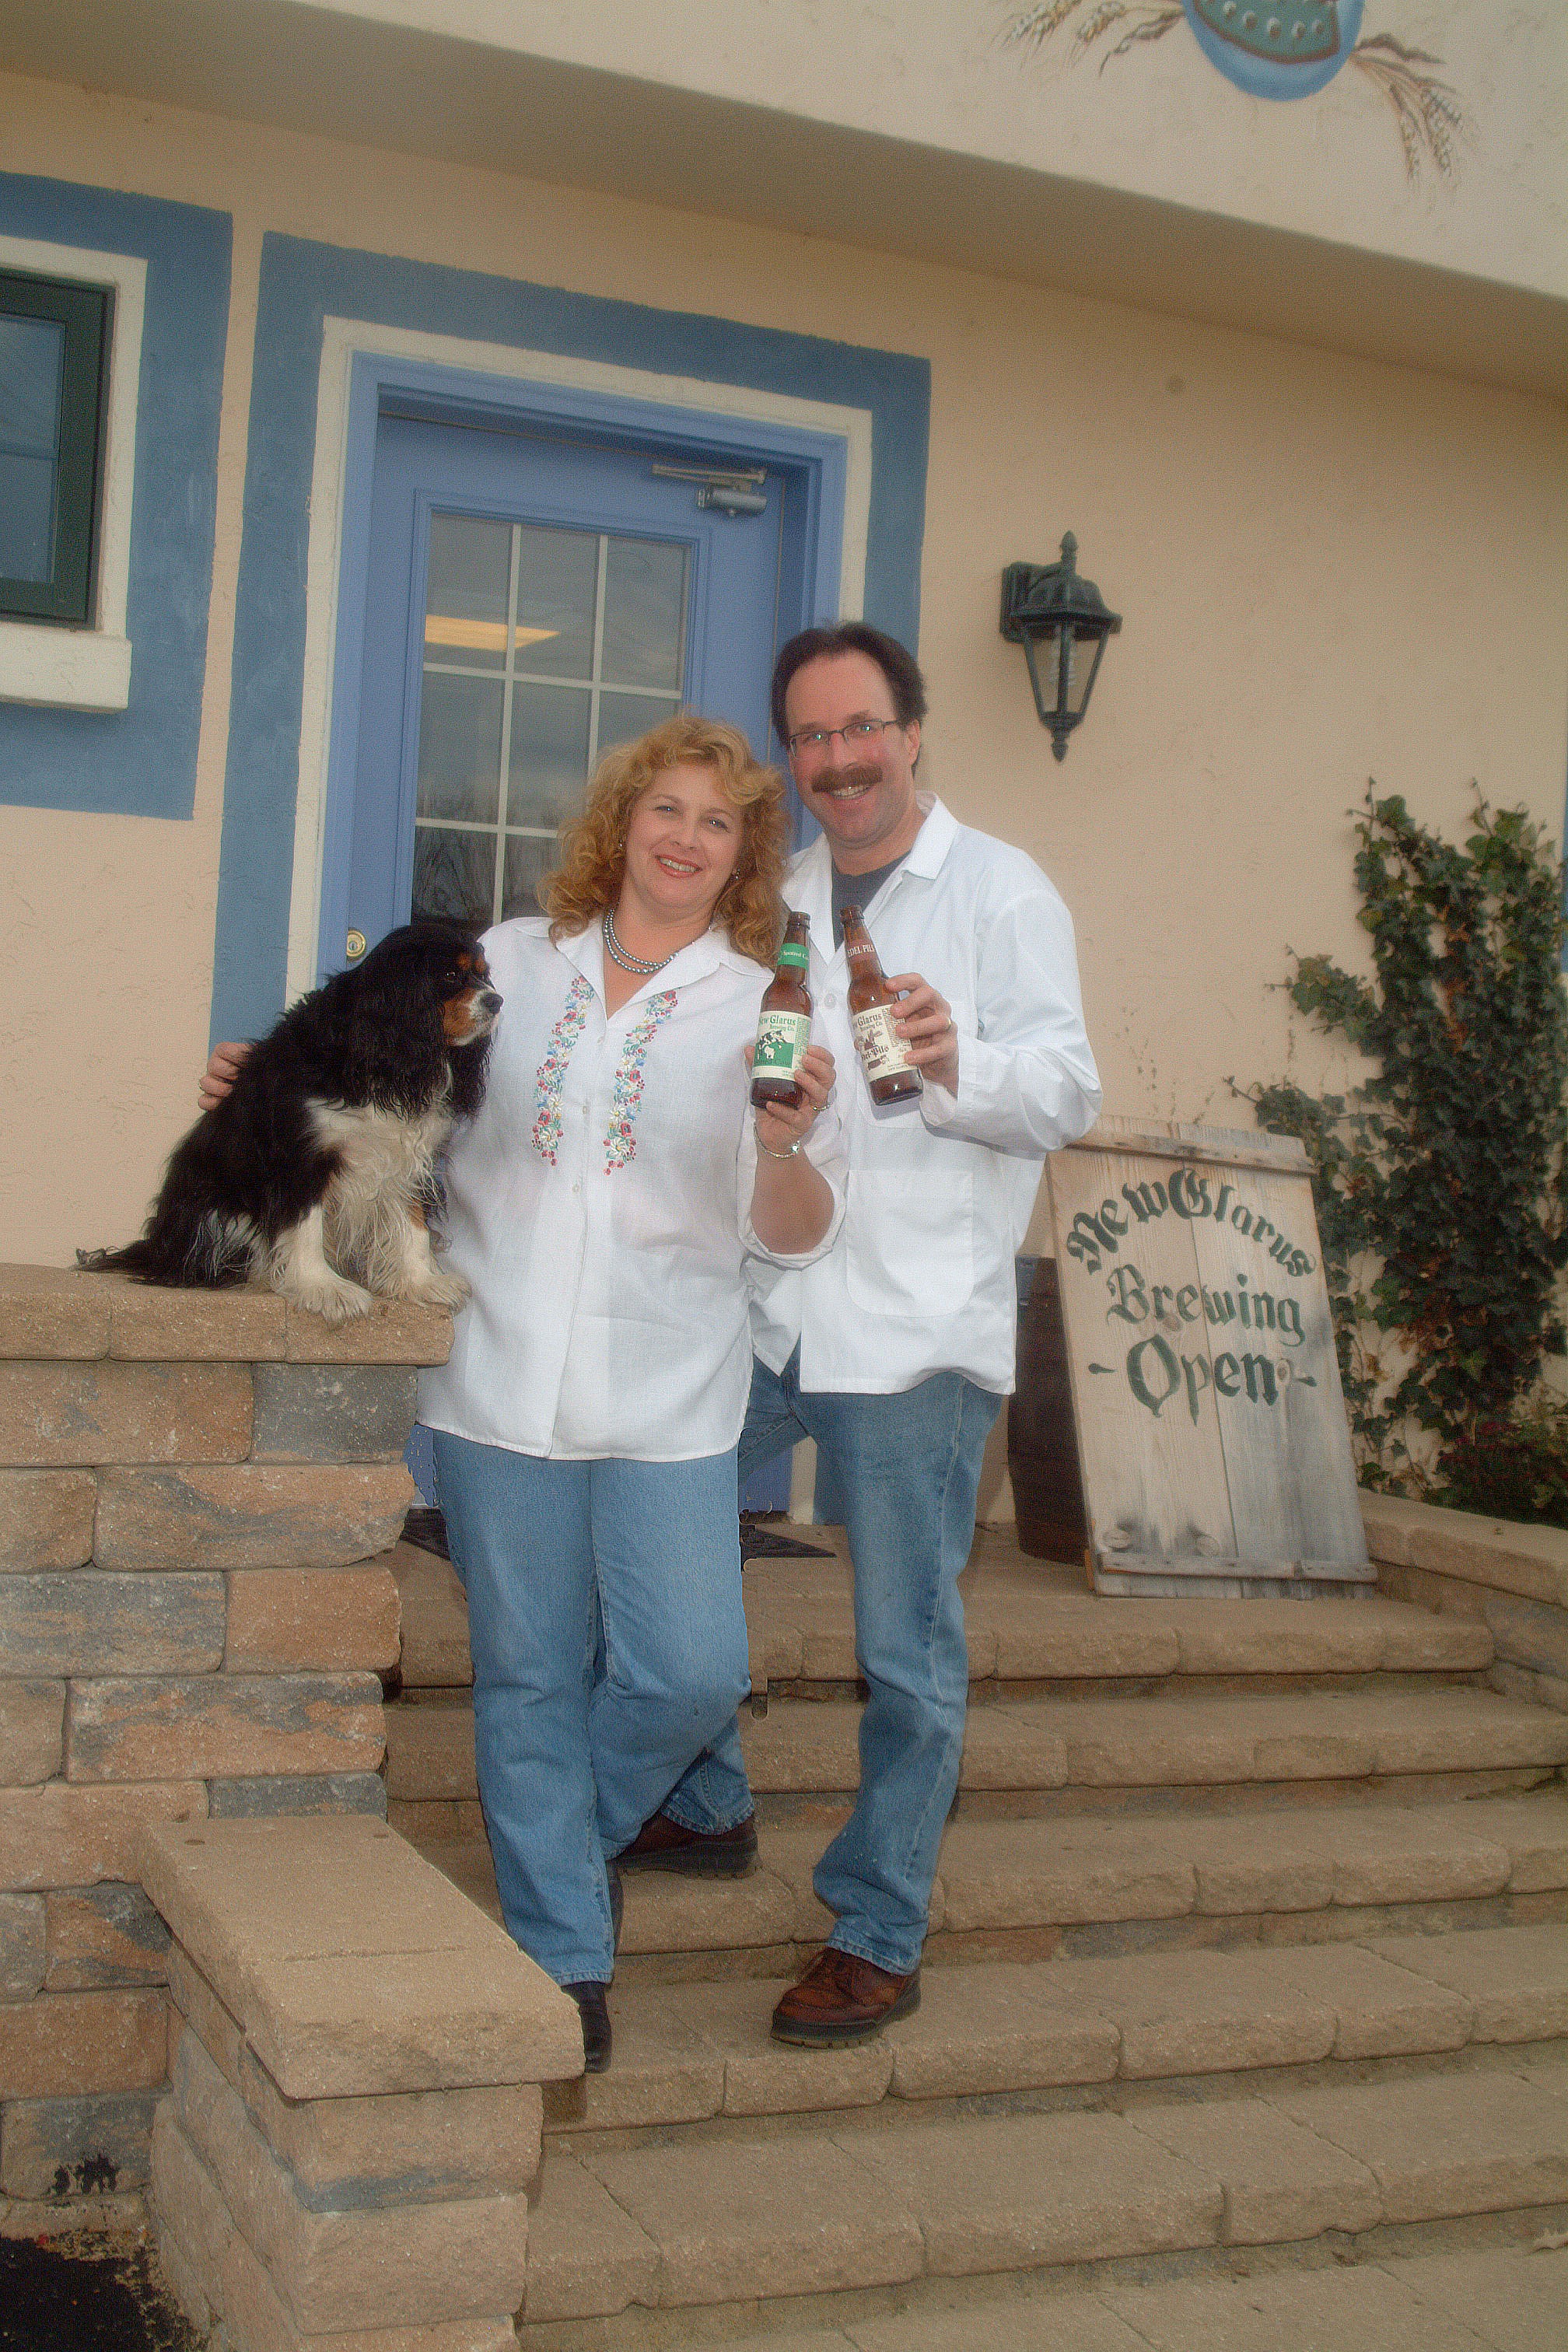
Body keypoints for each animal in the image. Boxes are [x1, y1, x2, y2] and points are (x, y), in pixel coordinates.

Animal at [79, 917, 500, 1326]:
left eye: (484, 976)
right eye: (450, 975)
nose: (496, 1001)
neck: (381, 1059)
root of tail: (156, 1247)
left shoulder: (408, 1159)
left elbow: (413, 1224)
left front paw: (422, 1281)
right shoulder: (302, 1156)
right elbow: (305, 1224)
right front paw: (324, 1288)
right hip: (215, 1218)